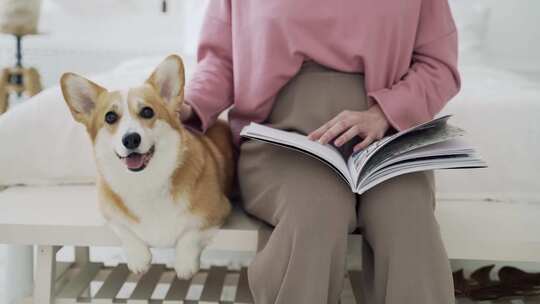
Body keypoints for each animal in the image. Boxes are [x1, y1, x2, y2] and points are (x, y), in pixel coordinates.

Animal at [60, 54, 232, 278]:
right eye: (110, 117)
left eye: (147, 112)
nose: (131, 139)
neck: (145, 181)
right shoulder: (109, 213)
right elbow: (124, 229)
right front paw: (138, 258)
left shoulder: (218, 210)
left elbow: (190, 234)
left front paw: (185, 263)